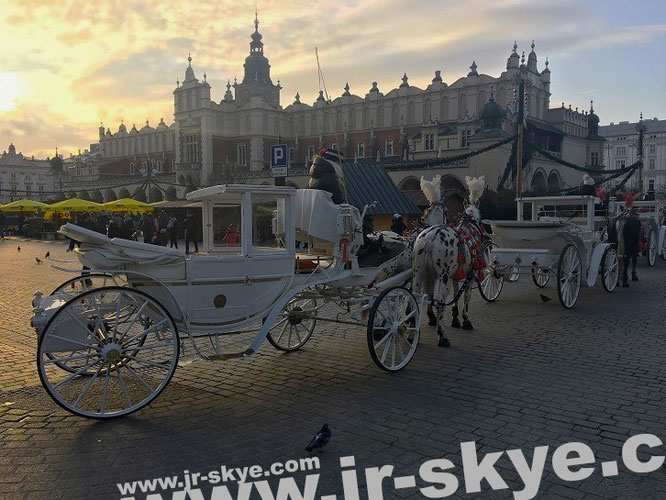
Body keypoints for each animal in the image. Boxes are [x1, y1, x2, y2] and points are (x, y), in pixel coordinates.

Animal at [410, 176, 482, 348]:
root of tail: (429, 238)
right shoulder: (471, 274)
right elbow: (466, 297)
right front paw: (465, 320)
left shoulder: (454, 274)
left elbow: (455, 293)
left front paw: (455, 318)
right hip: (441, 276)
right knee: (440, 302)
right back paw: (442, 336)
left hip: (418, 272)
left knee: (415, 298)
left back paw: (411, 333)